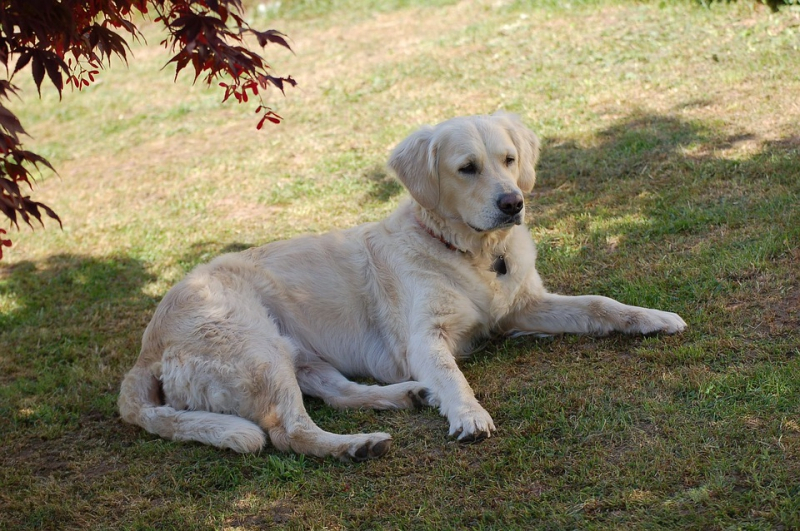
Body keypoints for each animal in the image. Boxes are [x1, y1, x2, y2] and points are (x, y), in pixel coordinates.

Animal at [119, 112, 688, 462]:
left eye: (508, 159)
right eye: (466, 168)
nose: (513, 203)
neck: (469, 252)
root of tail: (146, 350)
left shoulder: (521, 306)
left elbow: (599, 303)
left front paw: (653, 318)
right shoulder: (424, 337)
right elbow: (454, 377)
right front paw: (468, 415)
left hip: (291, 351)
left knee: (337, 391)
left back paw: (404, 396)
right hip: (255, 348)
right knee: (289, 430)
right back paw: (357, 445)